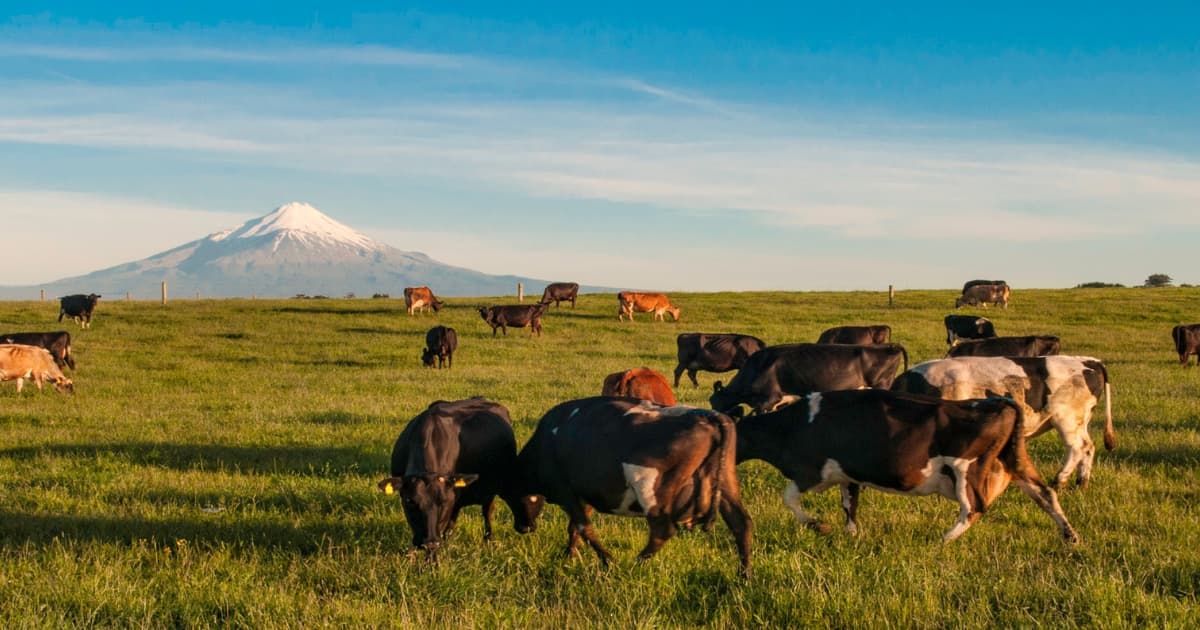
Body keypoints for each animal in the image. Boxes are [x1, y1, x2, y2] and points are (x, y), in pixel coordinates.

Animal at [376, 396, 542, 556]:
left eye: (443, 501)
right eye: (410, 501)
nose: (430, 541)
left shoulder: (453, 501)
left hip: (488, 491)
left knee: (486, 513)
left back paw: (487, 539)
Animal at [511, 398, 753, 573]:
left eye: (512, 496)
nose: (522, 527)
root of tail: (711, 416)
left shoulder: (565, 491)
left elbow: (583, 527)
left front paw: (608, 561)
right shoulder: (583, 495)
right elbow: (575, 527)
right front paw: (569, 555)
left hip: (652, 491)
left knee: (662, 531)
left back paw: (634, 566)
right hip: (727, 485)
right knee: (741, 523)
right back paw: (744, 576)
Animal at [734, 386, 1084, 542]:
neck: (791, 425)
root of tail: (1001, 400)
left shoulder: (811, 471)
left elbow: (789, 499)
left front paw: (817, 524)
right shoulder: (848, 474)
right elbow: (849, 505)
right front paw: (850, 534)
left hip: (966, 468)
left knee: (974, 507)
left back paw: (943, 540)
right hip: (1016, 461)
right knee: (1046, 494)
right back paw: (1070, 537)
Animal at [892, 355, 1113, 489]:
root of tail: (1090, 361)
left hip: (1066, 419)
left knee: (1077, 447)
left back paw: (1059, 481)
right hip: (1080, 421)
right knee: (1089, 446)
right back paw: (1081, 482)